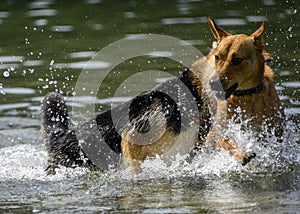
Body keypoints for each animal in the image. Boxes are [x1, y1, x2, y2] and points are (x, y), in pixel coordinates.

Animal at [191, 17, 284, 164]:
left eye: (237, 60)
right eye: (217, 57)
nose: (213, 83)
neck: (245, 95)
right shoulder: (214, 134)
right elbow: (224, 140)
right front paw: (241, 153)